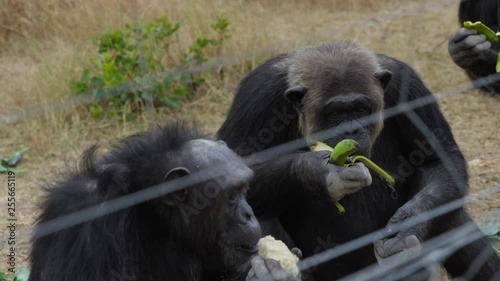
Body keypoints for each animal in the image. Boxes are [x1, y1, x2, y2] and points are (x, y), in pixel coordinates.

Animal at [218, 40, 500, 280]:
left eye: (361, 109)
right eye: (334, 113)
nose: (351, 129)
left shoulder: (408, 85)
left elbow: (437, 160)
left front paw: (406, 226)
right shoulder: (257, 96)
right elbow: (231, 175)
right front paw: (318, 172)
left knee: (446, 207)